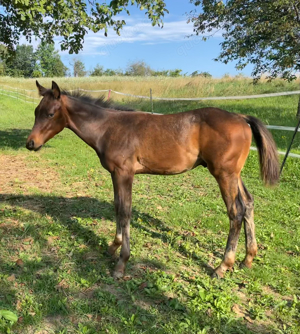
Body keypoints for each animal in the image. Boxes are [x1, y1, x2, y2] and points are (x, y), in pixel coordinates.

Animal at [25, 81, 278, 280]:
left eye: (50, 114)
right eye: (35, 111)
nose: (30, 143)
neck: (109, 128)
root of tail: (241, 118)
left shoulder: (124, 173)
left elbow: (125, 212)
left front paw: (121, 263)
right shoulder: (115, 174)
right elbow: (117, 208)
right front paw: (113, 247)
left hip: (224, 174)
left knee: (236, 212)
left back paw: (223, 266)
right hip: (235, 174)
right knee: (248, 204)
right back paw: (248, 259)